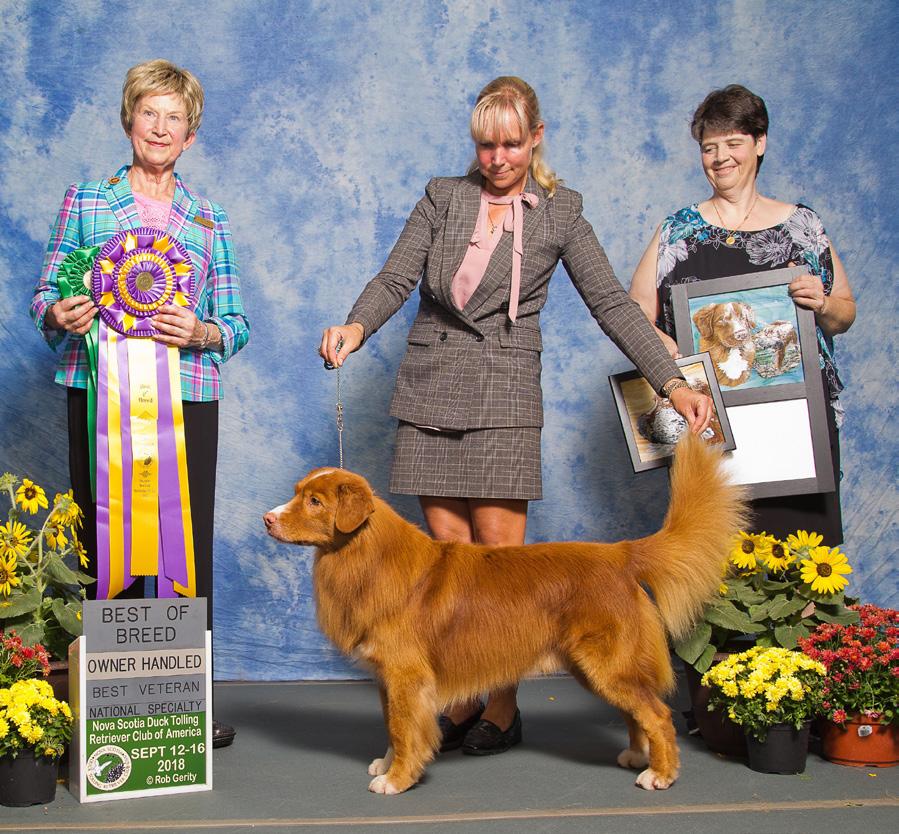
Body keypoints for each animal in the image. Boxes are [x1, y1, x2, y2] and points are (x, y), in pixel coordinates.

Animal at [263, 434, 746, 795]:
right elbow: (392, 726)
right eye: (297, 495)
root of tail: (620, 554)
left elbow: (404, 729)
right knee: (636, 711)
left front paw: (397, 779)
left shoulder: (405, 675)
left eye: (314, 502)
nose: (267, 519)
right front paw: (387, 765)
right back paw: (636, 756)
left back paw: (660, 774)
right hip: (593, 666)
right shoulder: (387, 677)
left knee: (657, 714)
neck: (363, 554)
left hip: (606, 661)